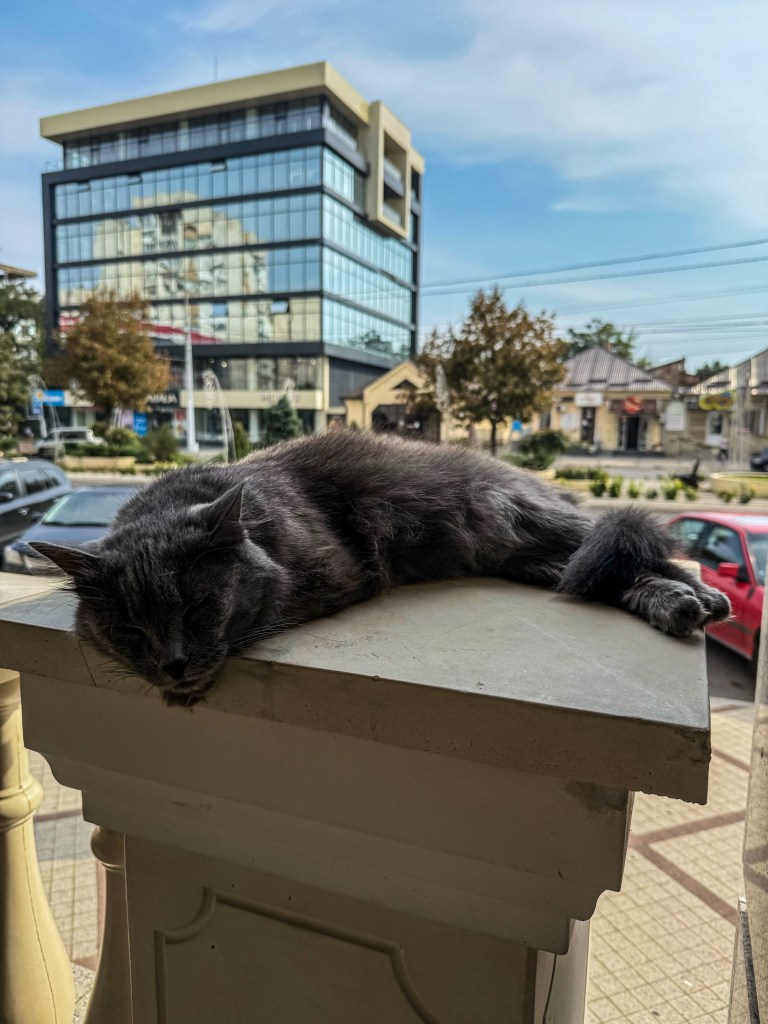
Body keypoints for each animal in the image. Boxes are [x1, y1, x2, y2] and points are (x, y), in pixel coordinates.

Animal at [31, 431, 730, 707]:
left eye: (200, 608)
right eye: (130, 632)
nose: (172, 664)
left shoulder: (331, 575)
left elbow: (257, 621)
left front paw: (189, 686)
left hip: (531, 519)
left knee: (642, 548)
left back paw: (701, 596)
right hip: (546, 563)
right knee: (614, 575)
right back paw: (676, 605)